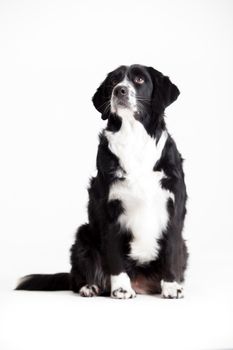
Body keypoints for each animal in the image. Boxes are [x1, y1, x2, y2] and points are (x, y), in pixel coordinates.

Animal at [15, 63, 187, 298]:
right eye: (113, 81)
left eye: (139, 79)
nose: (119, 90)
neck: (134, 140)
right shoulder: (109, 210)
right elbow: (115, 256)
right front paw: (122, 288)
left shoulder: (174, 207)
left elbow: (171, 250)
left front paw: (171, 286)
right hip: (83, 235)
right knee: (77, 277)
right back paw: (90, 287)